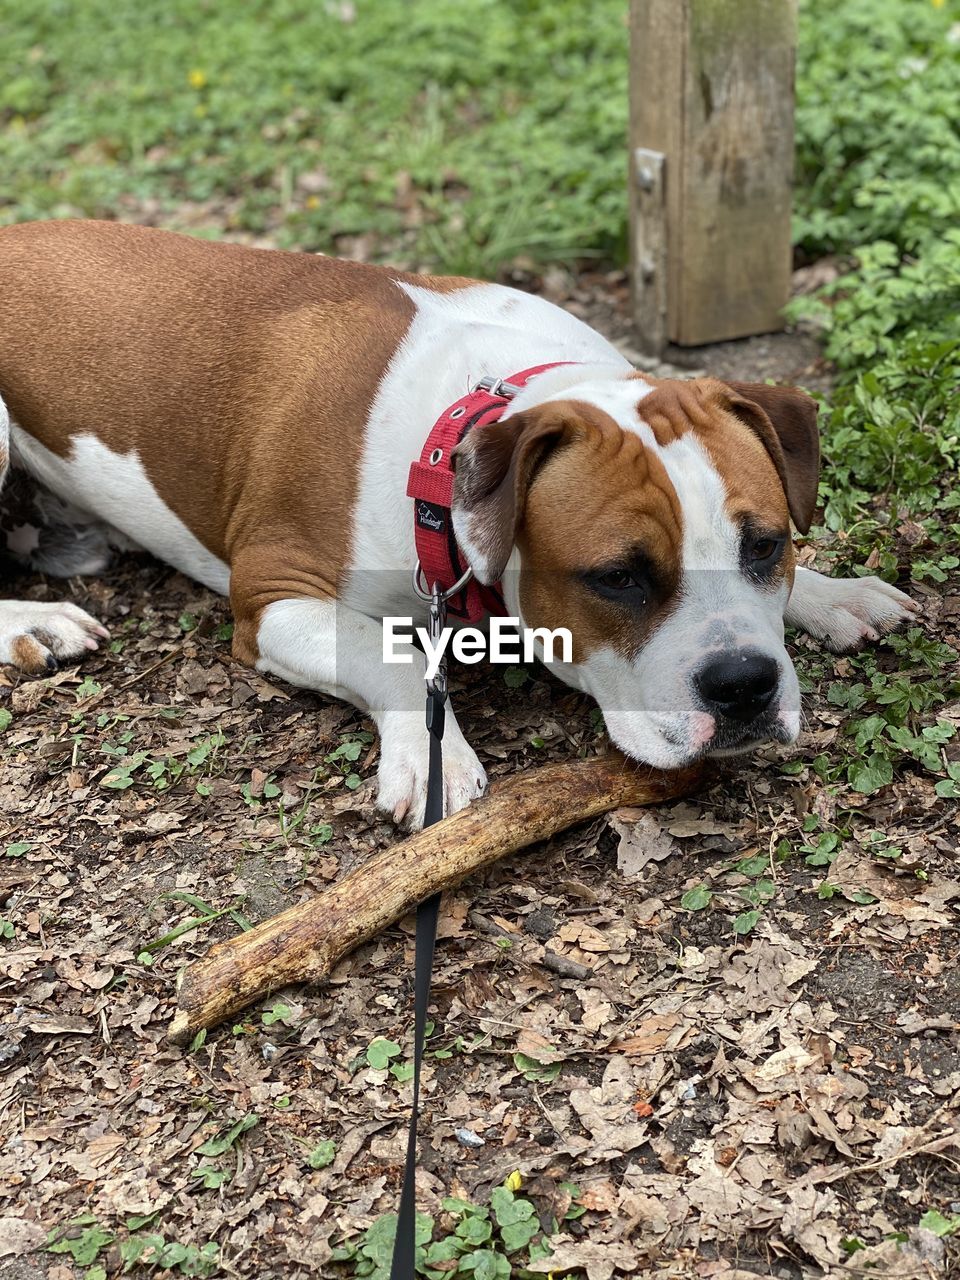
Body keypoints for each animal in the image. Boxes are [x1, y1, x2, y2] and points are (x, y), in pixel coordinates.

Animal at [0, 220, 916, 824]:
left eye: (767, 546)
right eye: (617, 577)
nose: (745, 685)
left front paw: (833, 593)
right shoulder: (274, 597)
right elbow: (392, 653)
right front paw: (432, 759)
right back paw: (33, 621)